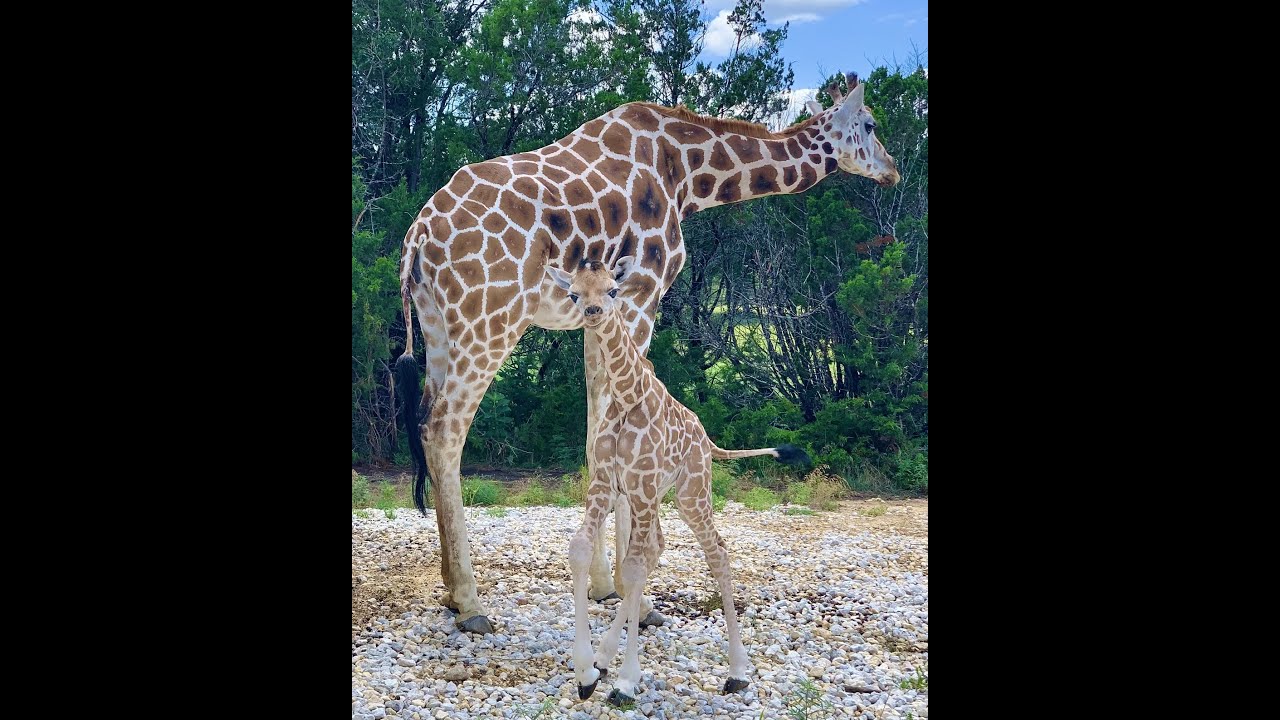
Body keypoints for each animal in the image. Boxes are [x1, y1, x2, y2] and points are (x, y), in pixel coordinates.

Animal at [394, 73, 896, 630]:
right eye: (870, 124)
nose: (892, 171)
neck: (687, 175)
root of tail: (418, 235)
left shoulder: (596, 316)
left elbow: (597, 433)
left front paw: (602, 586)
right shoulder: (642, 295)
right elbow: (626, 424)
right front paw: (637, 596)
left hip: (440, 326)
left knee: (427, 422)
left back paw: (448, 589)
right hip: (491, 321)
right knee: (445, 430)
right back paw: (470, 602)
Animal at [547, 254, 808, 702]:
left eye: (613, 289)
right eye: (574, 294)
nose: (594, 312)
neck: (625, 395)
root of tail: (707, 440)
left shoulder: (643, 483)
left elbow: (632, 568)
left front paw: (627, 681)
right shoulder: (607, 483)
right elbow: (582, 549)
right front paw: (586, 672)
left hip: (691, 493)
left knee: (716, 552)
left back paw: (738, 672)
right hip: (656, 497)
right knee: (657, 548)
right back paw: (605, 656)